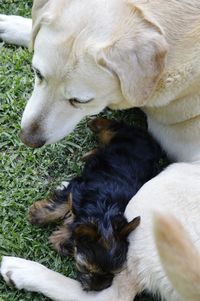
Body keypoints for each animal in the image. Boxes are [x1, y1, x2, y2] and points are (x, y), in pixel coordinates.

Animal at [28, 118, 166, 290]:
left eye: (113, 274)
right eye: (86, 269)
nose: (97, 288)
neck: (103, 213)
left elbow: (73, 227)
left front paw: (62, 238)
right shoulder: (76, 190)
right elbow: (62, 205)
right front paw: (38, 216)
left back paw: (90, 153)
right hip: (122, 135)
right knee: (112, 127)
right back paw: (95, 124)